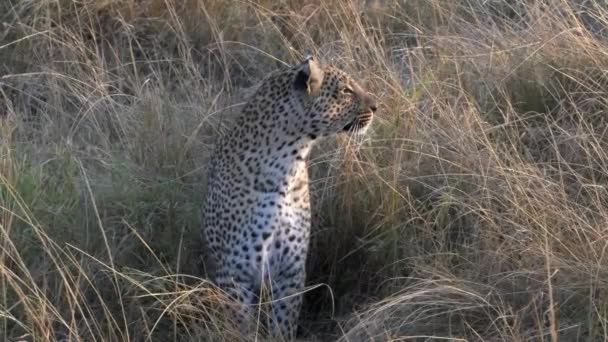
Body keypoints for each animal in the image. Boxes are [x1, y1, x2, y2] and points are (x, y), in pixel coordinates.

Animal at [202, 55, 378, 340]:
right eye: (346, 91)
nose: (377, 106)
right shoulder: (234, 274)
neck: (286, 166)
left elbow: (284, 323)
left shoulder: (291, 270)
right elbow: (241, 326)